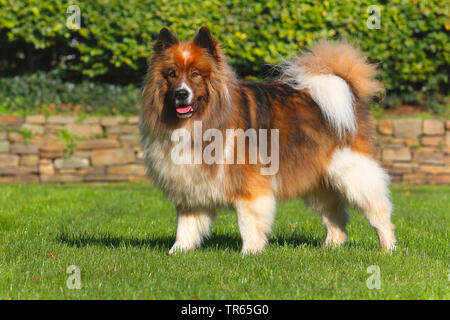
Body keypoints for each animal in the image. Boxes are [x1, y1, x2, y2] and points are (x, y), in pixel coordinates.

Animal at [141, 26, 398, 254]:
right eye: (171, 74)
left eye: (195, 74)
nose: (181, 94)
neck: (199, 121)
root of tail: (345, 86)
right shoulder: (191, 184)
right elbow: (187, 224)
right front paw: (178, 251)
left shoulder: (250, 185)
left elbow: (248, 222)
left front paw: (250, 252)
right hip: (318, 179)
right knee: (336, 216)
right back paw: (331, 247)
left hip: (352, 172)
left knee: (379, 211)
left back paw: (388, 248)